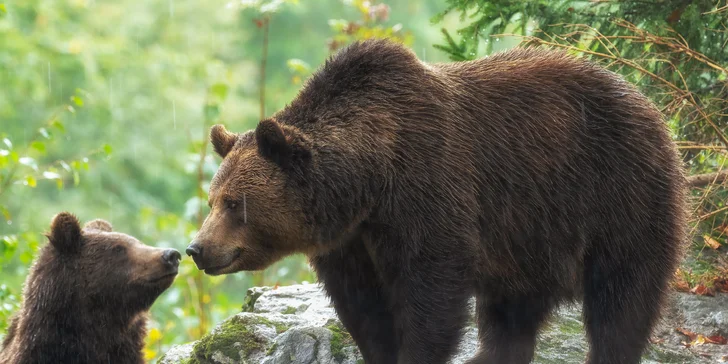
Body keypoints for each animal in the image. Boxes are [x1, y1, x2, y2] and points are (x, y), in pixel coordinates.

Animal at [185, 39, 684, 364]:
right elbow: (364, 310)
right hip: (529, 237)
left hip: (617, 191)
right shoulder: (351, 243)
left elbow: (431, 296)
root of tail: (647, 101)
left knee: (622, 293)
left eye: (234, 203)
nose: (197, 249)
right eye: (211, 200)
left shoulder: (429, 191)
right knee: (512, 311)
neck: (370, 182)